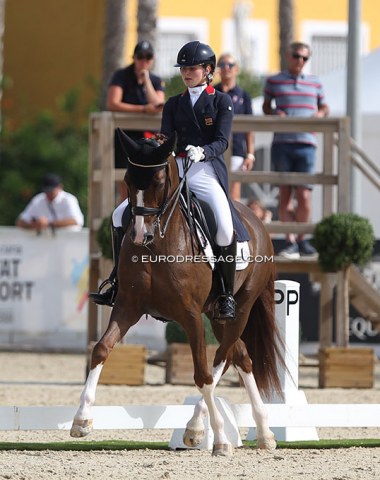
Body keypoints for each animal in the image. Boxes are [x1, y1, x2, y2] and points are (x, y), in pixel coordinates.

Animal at [71, 129, 284, 456]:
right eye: (128, 181)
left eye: (159, 182)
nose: (139, 235)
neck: (156, 246)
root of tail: (258, 221)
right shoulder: (127, 307)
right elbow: (101, 350)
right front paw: (81, 420)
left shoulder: (191, 316)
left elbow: (203, 375)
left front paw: (219, 440)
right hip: (217, 316)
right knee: (241, 356)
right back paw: (263, 432)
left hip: (239, 309)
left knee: (221, 359)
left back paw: (199, 427)